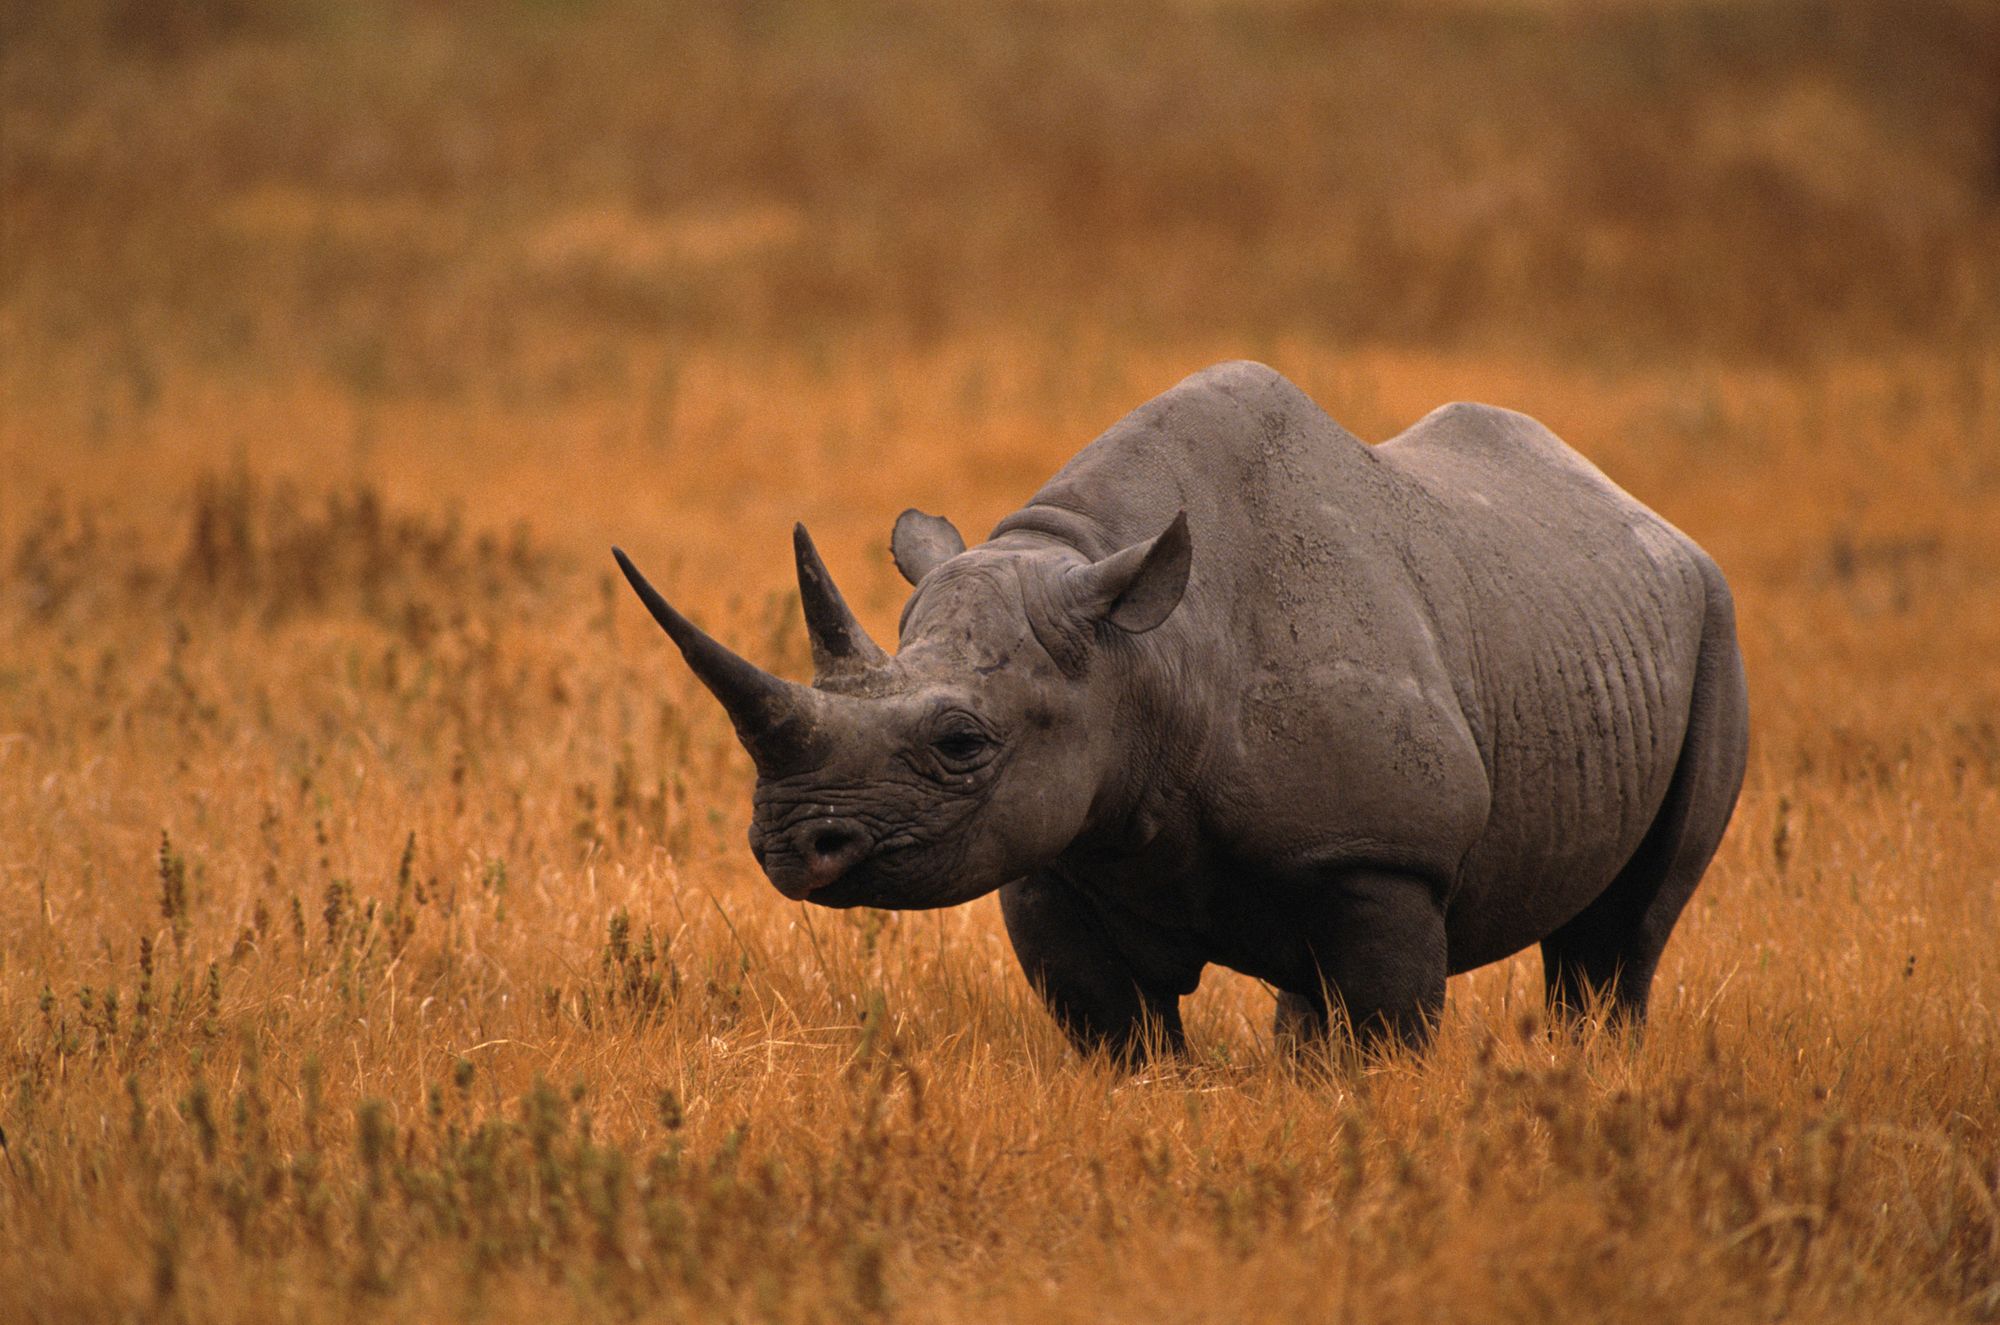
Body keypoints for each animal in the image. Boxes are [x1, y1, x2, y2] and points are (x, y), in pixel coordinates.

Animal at [614, 361, 1749, 1057]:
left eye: (960, 740)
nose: (788, 845)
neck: (1143, 657)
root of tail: (1635, 508)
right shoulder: (1055, 844)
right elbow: (1117, 1031)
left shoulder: (1387, 851)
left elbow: (1384, 1028)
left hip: (1710, 619)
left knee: (1620, 935)